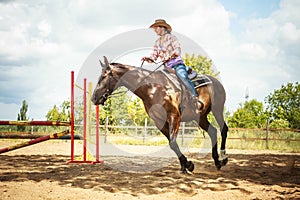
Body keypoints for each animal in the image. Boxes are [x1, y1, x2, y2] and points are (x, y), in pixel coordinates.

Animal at [91, 56, 227, 173]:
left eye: (104, 76)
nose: (94, 98)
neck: (153, 88)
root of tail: (216, 82)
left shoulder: (174, 116)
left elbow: (173, 142)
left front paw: (188, 165)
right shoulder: (159, 121)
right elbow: (172, 144)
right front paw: (185, 165)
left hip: (217, 110)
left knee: (223, 129)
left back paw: (224, 158)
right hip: (200, 117)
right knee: (213, 131)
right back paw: (217, 161)